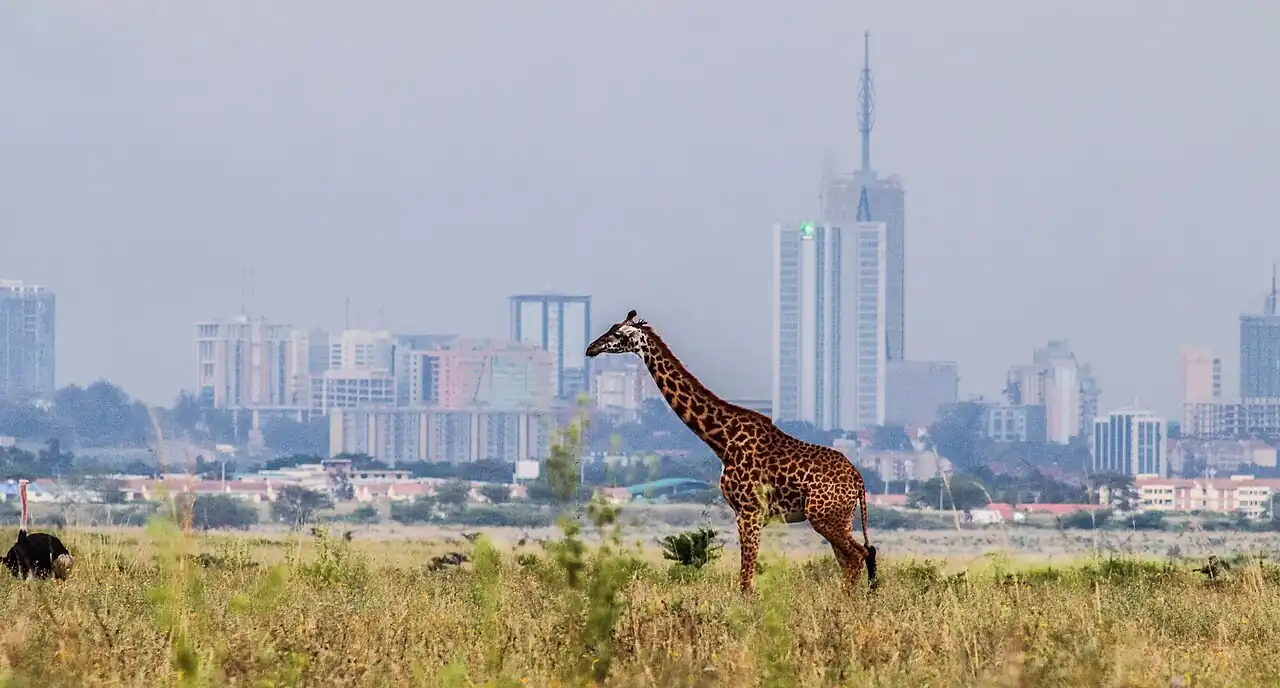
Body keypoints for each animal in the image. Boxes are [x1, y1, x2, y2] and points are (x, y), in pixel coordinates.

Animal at [585, 310, 877, 593]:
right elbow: (746, 579)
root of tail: (858, 481)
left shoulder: (750, 511)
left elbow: (746, 582)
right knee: (853, 559)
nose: (591, 348)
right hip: (839, 518)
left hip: (825, 517)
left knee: (858, 556)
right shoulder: (744, 513)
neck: (722, 441)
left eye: (618, 333)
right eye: (612, 328)